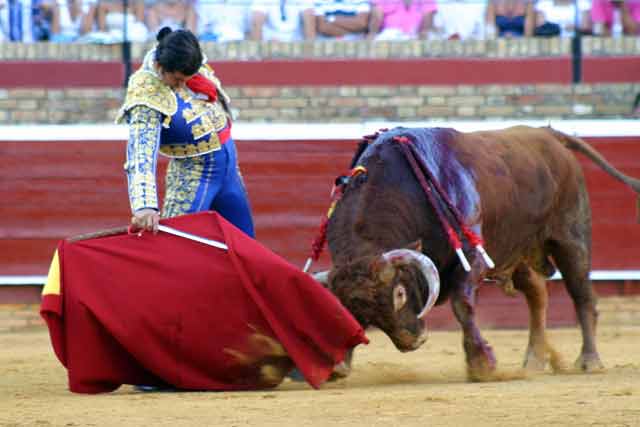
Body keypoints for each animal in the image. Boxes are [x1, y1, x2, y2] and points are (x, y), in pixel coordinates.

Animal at [314, 126, 640, 382]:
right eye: (356, 309)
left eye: (399, 294)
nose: (411, 341)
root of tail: (549, 135)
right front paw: (338, 365)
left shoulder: (474, 256)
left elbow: (462, 303)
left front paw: (482, 364)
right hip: (518, 251)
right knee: (538, 295)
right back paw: (534, 360)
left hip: (571, 239)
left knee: (583, 295)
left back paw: (589, 361)